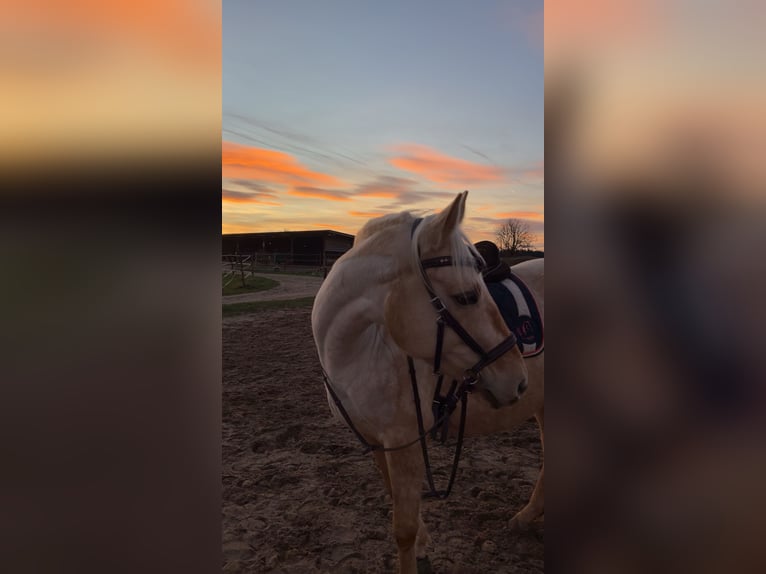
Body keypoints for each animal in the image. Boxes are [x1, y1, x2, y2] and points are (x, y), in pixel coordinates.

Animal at [311, 191, 544, 573]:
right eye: (468, 296)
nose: (517, 380)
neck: (358, 351)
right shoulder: (378, 442)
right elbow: (396, 500)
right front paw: (424, 543)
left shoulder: (404, 442)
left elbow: (402, 529)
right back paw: (525, 520)